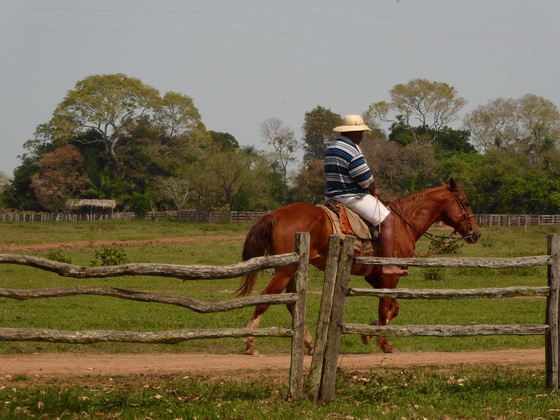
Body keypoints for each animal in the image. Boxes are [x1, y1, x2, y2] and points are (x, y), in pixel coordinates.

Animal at [238, 177, 480, 354]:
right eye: (466, 202)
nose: (476, 233)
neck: (403, 223)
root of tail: (274, 214)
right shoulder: (390, 277)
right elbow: (385, 307)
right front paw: (384, 343)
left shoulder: (374, 277)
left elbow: (393, 308)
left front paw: (369, 331)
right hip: (284, 271)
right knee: (265, 300)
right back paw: (250, 343)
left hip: (292, 270)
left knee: (291, 303)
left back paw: (309, 343)